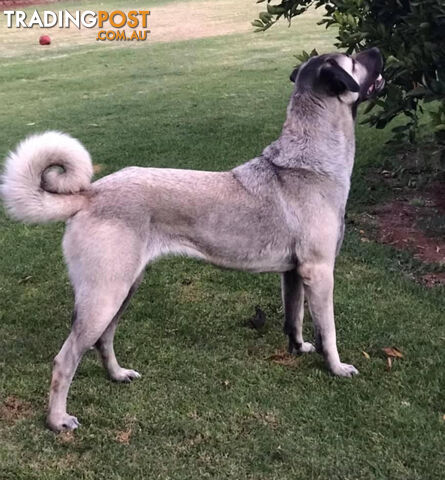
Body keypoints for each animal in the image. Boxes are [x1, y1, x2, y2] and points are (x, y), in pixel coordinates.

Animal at [0, 47, 384, 432]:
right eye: (352, 59)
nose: (377, 51)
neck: (308, 162)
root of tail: (89, 194)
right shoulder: (319, 272)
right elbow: (328, 330)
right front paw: (336, 367)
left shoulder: (293, 273)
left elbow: (295, 318)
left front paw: (299, 348)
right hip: (104, 295)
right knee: (65, 360)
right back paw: (57, 420)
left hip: (123, 290)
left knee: (103, 341)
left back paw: (117, 375)